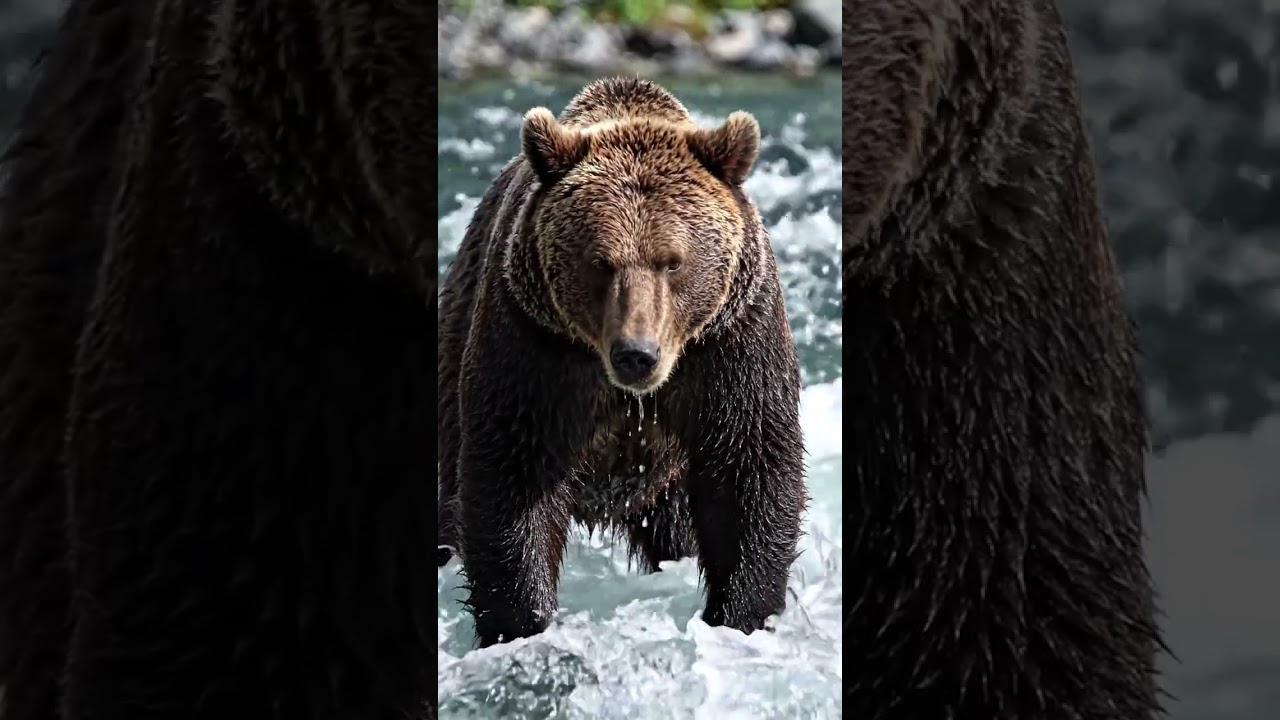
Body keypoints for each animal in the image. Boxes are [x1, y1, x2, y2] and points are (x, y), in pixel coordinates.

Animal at [436, 76, 807, 649]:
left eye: (673, 262)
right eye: (601, 263)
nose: (636, 355)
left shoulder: (731, 341)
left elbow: (749, 469)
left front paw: (741, 616)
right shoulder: (534, 344)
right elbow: (512, 475)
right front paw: (523, 622)